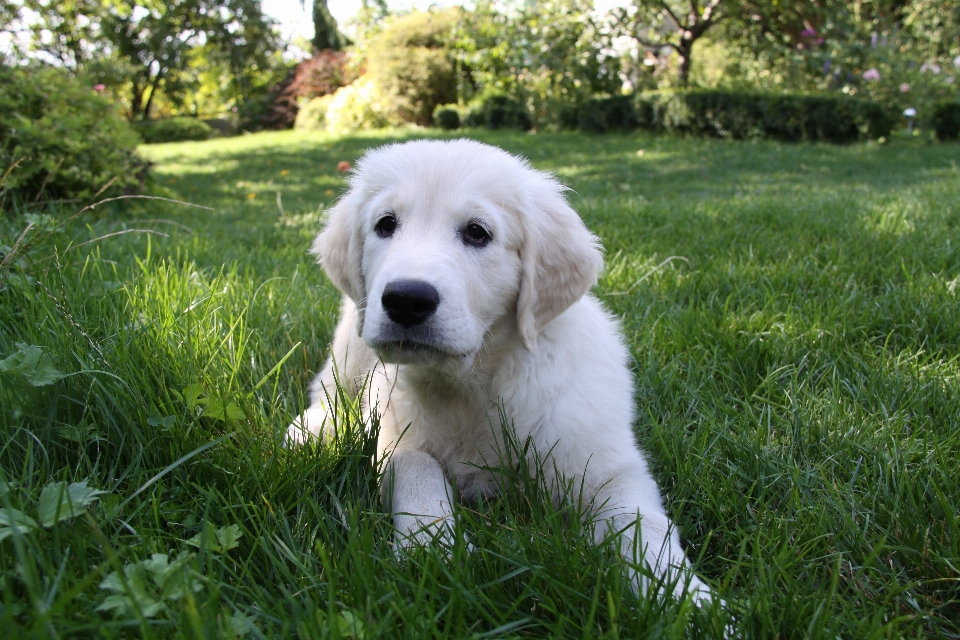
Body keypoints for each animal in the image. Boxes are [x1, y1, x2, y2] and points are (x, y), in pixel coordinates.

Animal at [284, 138, 712, 604]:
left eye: (477, 232)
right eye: (385, 225)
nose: (406, 300)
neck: (474, 382)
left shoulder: (605, 466)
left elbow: (644, 526)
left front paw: (689, 598)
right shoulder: (396, 434)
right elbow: (417, 470)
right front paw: (431, 548)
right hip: (352, 346)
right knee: (327, 393)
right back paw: (308, 433)